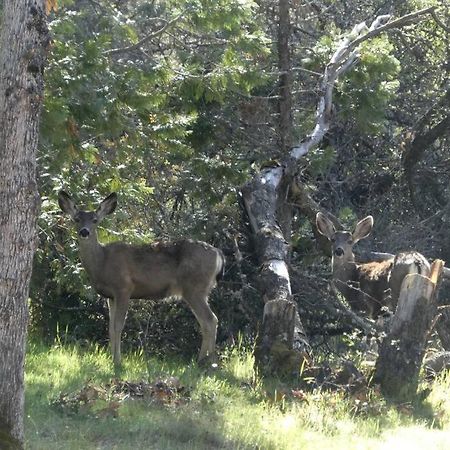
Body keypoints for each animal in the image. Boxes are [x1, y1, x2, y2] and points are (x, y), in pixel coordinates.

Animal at [58, 192, 223, 368]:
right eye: (76, 219)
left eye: (95, 220)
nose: (84, 232)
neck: (102, 262)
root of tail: (218, 254)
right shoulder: (110, 296)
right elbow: (110, 328)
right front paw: (111, 357)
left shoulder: (124, 288)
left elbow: (118, 326)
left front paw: (118, 362)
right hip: (199, 290)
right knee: (206, 322)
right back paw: (203, 361)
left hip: (194, 288)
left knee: (210, 320)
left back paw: (208, 363)